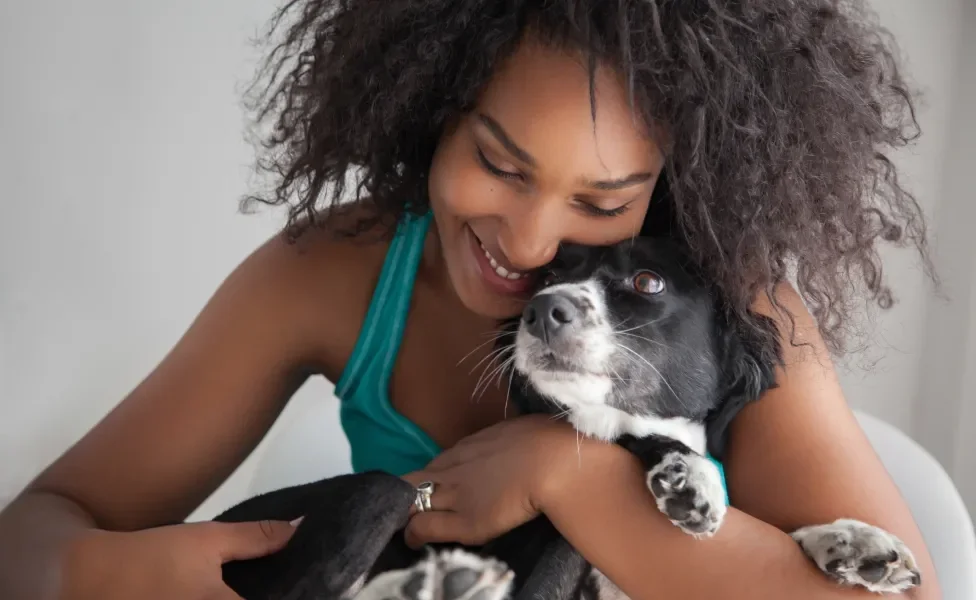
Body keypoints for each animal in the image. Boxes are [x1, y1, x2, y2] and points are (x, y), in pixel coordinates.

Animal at [210, 237, 920, 596]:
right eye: (544, 273)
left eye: (647, 282)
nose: (541, 308)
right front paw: (690, 476)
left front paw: (854, 544)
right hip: (377, 497)